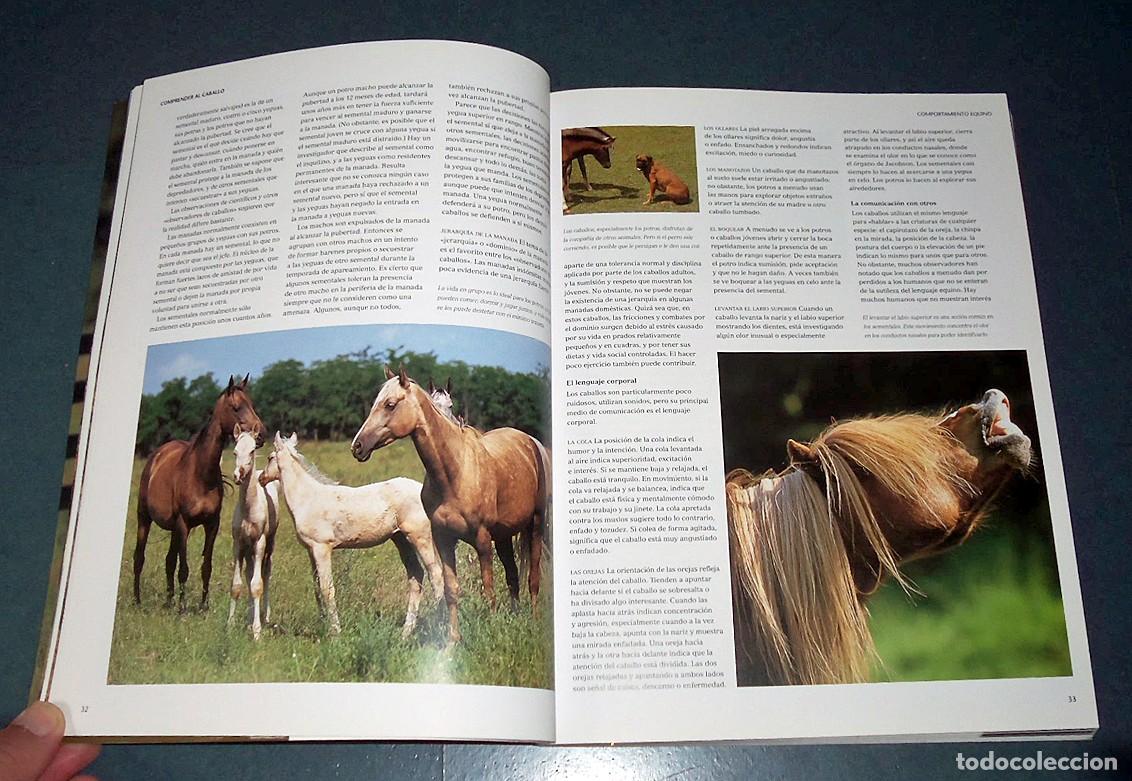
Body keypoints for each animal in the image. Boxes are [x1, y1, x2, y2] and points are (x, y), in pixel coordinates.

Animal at [134, 374, 266, 610]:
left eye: (251, 404)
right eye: (236, 407)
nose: (261, 435)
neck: (200, 473)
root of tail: (157, 454)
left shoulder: (211, 524)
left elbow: (206, 567)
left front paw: (203, 606)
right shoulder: (183, 524)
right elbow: (184, 569)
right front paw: (183, 608)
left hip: (173, 530)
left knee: (169, 560)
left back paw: (168, 601)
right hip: (145, 519)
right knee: (139, 557)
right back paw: (139, 601)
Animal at [259, 432, 444, 637]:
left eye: (270, 458)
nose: (260, 478)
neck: (307, 499)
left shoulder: (322, 548)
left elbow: (327, 588)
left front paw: (335, 632)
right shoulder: (310, 550)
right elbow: (317, 588)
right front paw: (323, 624)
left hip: (420, 537)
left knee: (436, 575)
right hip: (401, 540)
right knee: (416, 576)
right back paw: (405, 633)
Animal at [351, 366, 551, 645]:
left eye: (390, 404)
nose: (357, 446)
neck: (454, 472)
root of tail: (530, 442)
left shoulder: (481, 540)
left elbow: (488, 588)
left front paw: (491, 631)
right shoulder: (443, 539)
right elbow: (451, 590)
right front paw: (452, 640)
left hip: (535, 526)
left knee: (533, 577)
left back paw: (532, 620)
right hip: (503, 535)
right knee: (512, 576)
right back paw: (515, 615)